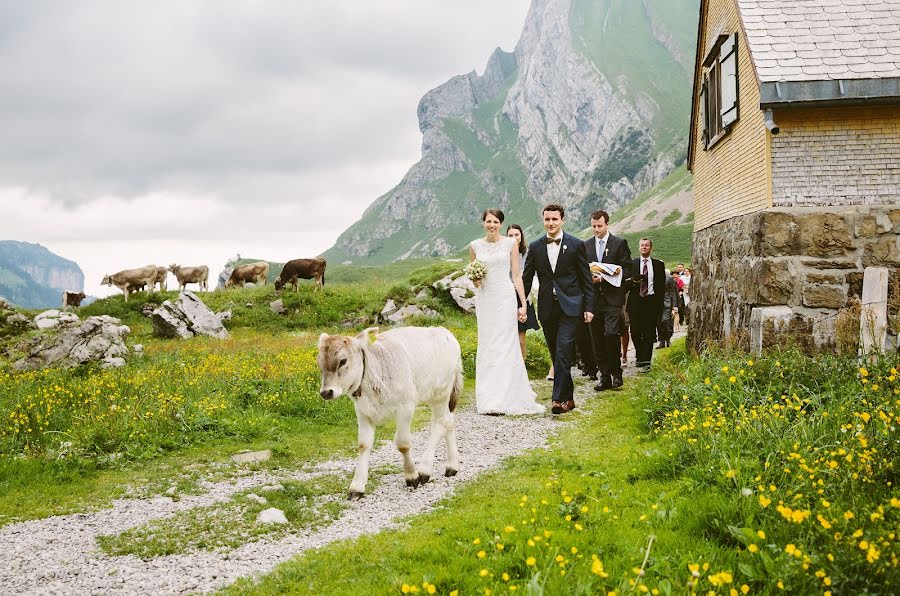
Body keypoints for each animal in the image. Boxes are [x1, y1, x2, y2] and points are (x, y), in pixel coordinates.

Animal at [318, 326, 464, 498]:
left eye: (343, 361)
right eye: (319, 362)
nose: (326, 392)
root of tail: (444, 331)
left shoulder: (405, 407)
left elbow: (402, 444)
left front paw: (411, 476)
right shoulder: (362, 412)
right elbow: (363, 445)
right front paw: (357, 486)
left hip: (441, 392)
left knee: (441, 423)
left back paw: (424, 470)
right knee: (448, 421)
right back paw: (452, 466)